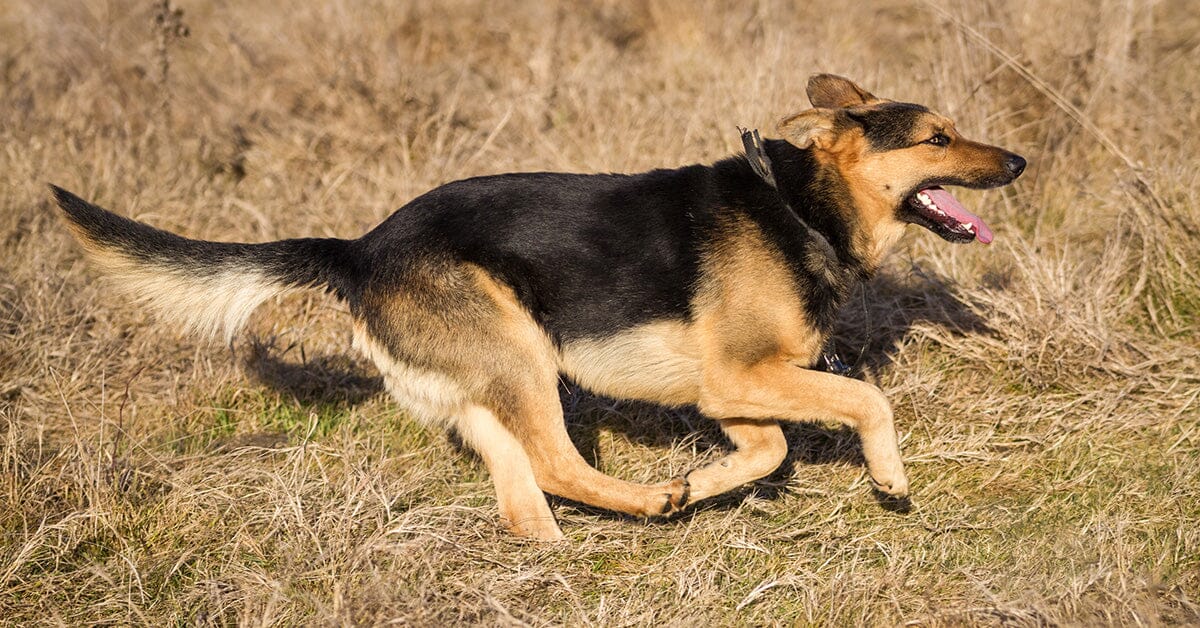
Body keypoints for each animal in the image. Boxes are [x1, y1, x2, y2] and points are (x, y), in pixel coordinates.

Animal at [56, 72, 1027, 535]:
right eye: (939, 138)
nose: (1017, 162)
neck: (801, 204)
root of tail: (360, 251)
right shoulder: (737, 378)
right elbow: (861, 403)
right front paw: (888, 476)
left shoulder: (738, 393)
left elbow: (768, 450)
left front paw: (710, 482)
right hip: (524, 358)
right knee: (556, 466)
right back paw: (647, 503)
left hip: (483, 391)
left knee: (524, 500)